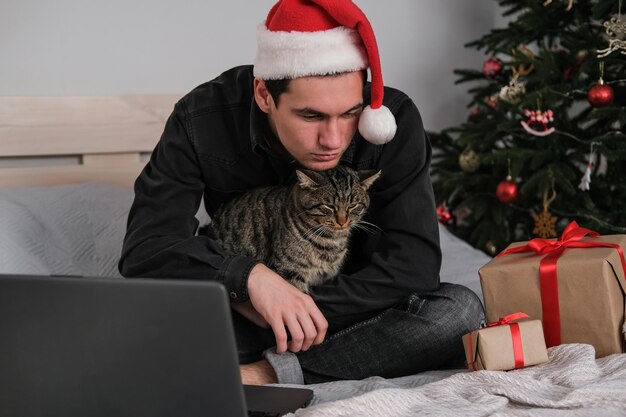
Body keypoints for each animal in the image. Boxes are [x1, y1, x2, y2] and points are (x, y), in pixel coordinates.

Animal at [207, 164, 378, 290]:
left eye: (353, 206)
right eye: (328, 207)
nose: (342, 221)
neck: (330, 241)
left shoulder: (325, 277)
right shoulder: (289, 272)